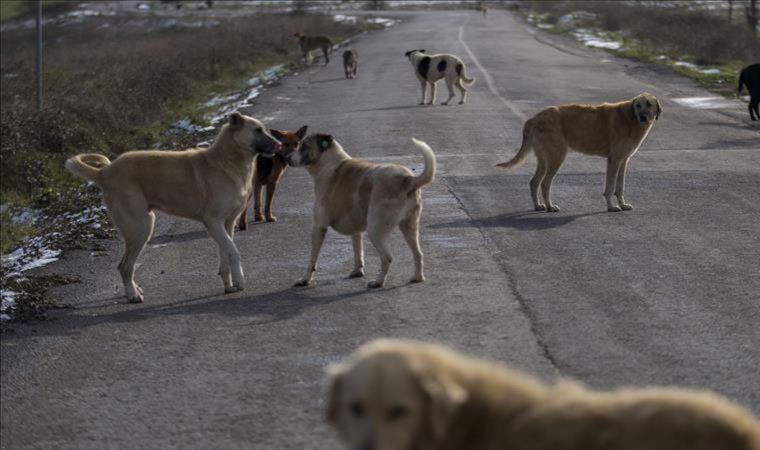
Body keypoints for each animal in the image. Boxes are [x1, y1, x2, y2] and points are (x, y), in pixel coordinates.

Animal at [65, 112, 282, 302]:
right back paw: (132, 295)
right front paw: (240, 281)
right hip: (141, 227)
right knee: (124, 266)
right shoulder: (213, 222)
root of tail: (105, 172)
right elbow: (234, 252)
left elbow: (225, 254)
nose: (279, 145)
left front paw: (229, 285)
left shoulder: (227, 224)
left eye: (264, 129)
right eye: (257, 130)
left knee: (127, 266)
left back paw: (134, 290)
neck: (228, 161)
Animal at [280, 134, 436, 288]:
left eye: (304, 147)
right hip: (409, 227)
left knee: (387, 258)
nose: (286, 158)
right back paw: (418, 277)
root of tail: (408, 179)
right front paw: (357, 271)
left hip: (375, 230)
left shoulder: (319, 226)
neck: (327, 164)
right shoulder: (356, 228)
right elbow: (357, 250)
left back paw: (378, 282)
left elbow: (313, 258)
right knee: (418, 253)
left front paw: (305, 279)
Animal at [496, 92, 664, 213]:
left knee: (534, 182)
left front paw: (622, 205)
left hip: (544, 160)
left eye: (649, 104)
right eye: (638, 105)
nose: (643, 117)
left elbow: (620, 186)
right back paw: (550, 207)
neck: (630, 119)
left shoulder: (623, 161)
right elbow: (610, 188)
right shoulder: (614, 160)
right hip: (557, 157)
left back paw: (538, 206)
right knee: (544, 183)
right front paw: (611, 207)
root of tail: (533, 118)